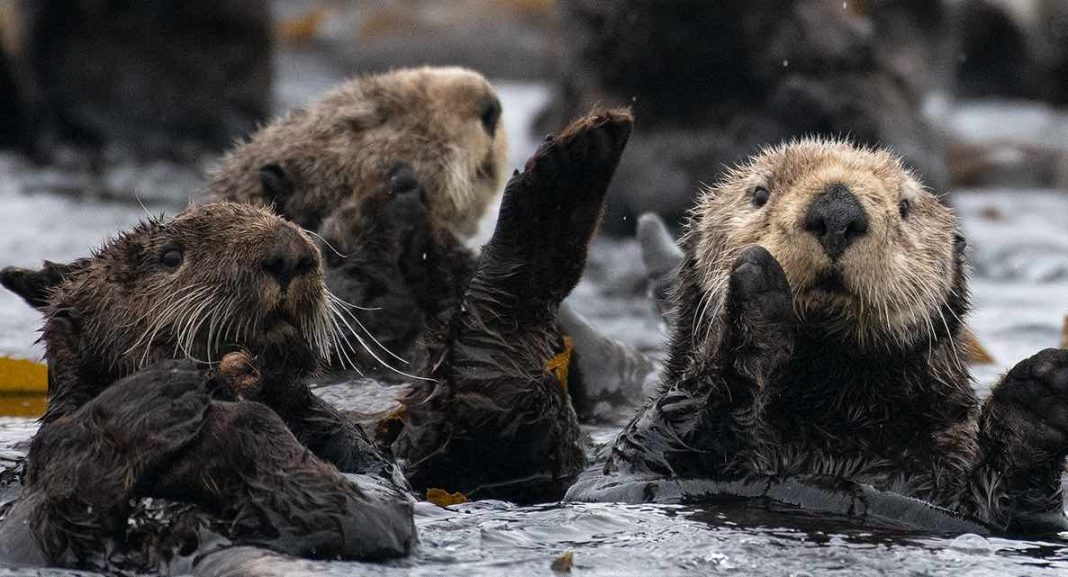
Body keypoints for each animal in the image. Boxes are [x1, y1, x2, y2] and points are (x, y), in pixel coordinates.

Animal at [569, 139, 1068, 534]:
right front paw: (752, 293)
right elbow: (662, 434)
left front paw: (1035, 400)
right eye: (759, 193)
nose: (838, 211)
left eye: (906, 208)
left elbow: (1013, 512)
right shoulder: (625, 467)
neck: (827, 412)